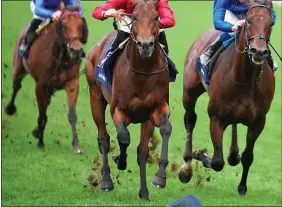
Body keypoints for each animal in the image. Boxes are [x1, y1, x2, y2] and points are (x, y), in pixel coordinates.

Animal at [4, 2, 87, 154]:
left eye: (80, 24)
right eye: (63, 25)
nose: (76, 51)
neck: (59, 56)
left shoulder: (72, 83)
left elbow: (72, 115)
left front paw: (76, 146)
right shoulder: (40, 86)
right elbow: (42, 114)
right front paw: (40, 143)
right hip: (19, 69)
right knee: (16, 86)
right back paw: (10, 109)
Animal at [85, 0, 171, 201]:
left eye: (156, 17)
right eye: (135, 17)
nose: (145, 45)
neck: (143, 73)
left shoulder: (156, 109)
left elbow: (163, 132)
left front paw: (158, 178)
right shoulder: (118, 109)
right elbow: (123, 137)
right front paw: (120, 160)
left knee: (142, 150)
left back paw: (144, 191)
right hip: (95, 98)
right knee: (104, 138)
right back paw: (106, 181)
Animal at [180, 0, 274, 194]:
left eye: (271, 23)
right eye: (249, 21)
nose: (259, 51)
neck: (245, 78)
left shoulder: (259, 121)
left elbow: (247, 156)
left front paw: (243, 187)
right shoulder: (216, 117)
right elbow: (217, 162)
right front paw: (199, 153)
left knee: (234, 128)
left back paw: (233, 153)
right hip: (189, 92)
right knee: (190, 120)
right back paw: (186, 168)